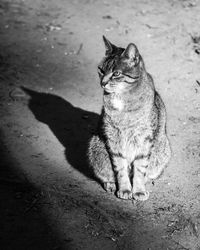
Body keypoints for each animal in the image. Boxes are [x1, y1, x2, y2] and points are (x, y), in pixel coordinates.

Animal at [87, 36, 170, 201]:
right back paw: (111, 184)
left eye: (116, 73)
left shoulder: (144, 140)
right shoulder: (113, 140)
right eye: (101, 70)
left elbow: (140, 169)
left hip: (163, 150)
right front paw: (125, 189)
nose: (103, 83)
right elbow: (120, 169)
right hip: (95, 147)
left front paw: (138, 190)